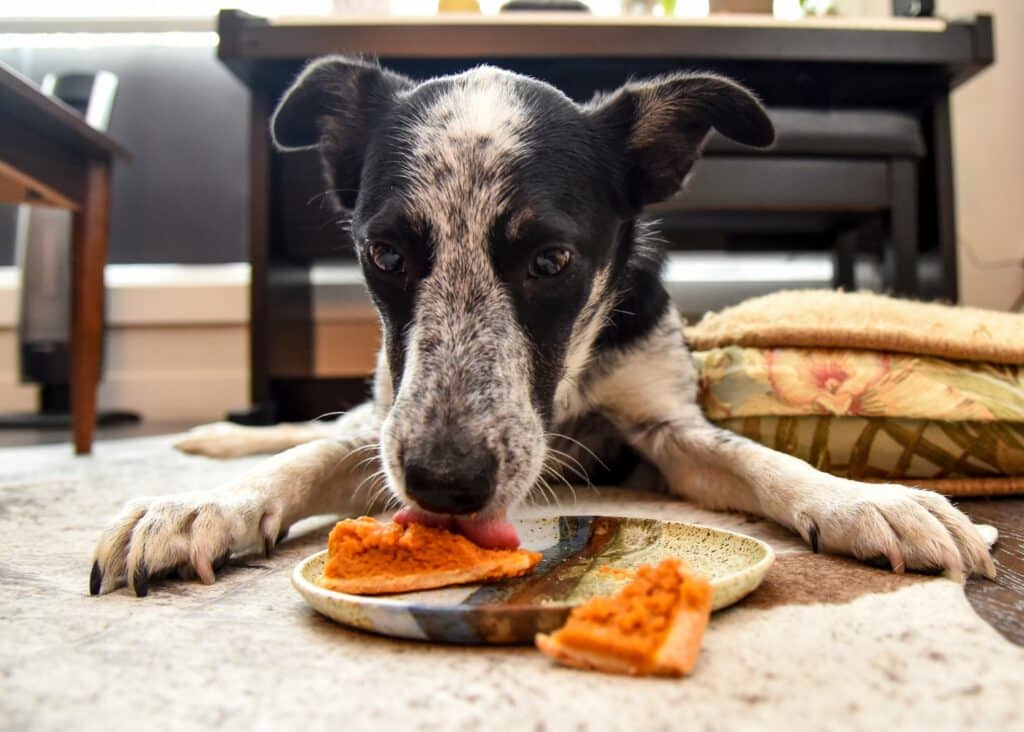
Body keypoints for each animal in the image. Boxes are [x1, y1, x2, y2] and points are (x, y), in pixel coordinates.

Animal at [90, 57, 991, 593]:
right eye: (385, 252)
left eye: (552, 261)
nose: (445, 483)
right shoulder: (393, 426)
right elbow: (309, 455)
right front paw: (204, 506)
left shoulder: (664, 432)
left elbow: (757, 458)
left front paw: (865, 500)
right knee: (320, 425)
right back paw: (215, 440)